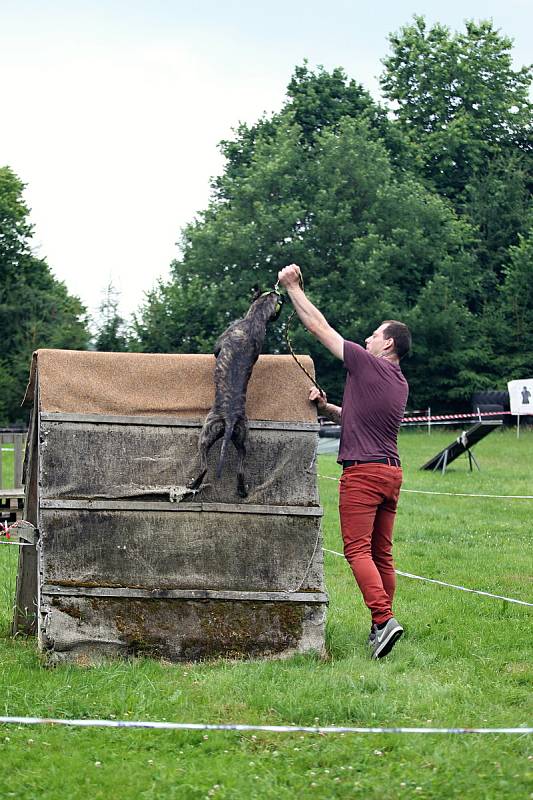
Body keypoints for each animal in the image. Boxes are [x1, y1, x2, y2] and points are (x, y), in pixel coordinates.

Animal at [189, 288, 284, 496]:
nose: (278, 292)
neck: (255, 318)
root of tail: (230, 418)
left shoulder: (219, 344)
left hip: (206, 435)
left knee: (205, 467)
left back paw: (193, 485)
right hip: (242, 441)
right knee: (240, 470)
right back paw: (242, 491)